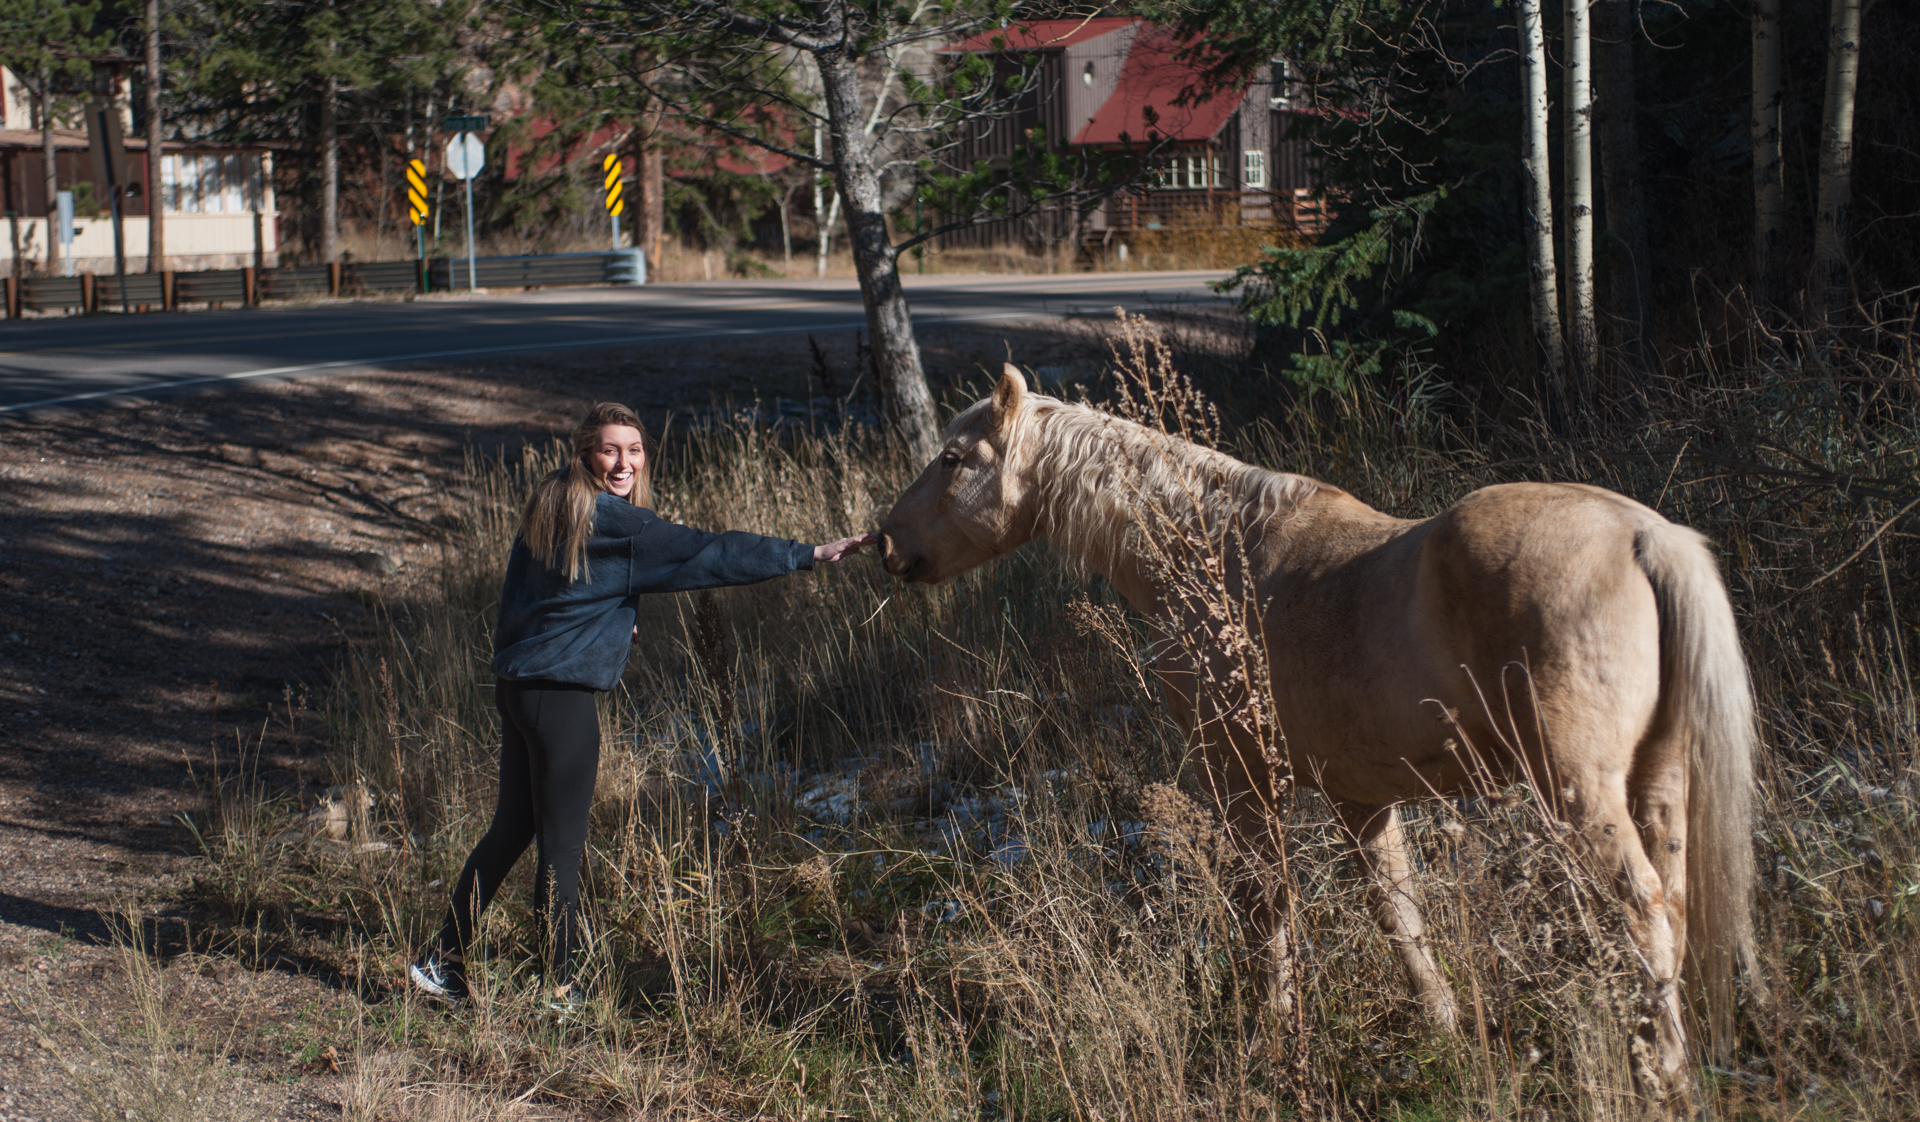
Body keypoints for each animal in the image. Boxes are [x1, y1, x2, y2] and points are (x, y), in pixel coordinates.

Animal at [883, 365, 1758, 1106]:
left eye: (954, 459)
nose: (888, 545)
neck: (1214, 553)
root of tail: (1644, 536)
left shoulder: (1242, 781)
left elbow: (1264, 909)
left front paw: (1269, 1037)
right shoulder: (1360, 800)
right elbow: (1397, 912)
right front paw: (1442, 1029)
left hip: (1580, 795)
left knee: (1643, 915)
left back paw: (1660, 1077)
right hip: (1658, 786)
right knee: (1673, 910)